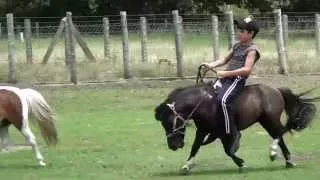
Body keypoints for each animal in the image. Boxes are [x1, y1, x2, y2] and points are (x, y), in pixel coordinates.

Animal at [154, 70, 318, 173]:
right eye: (162, 124)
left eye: (169, 122)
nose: (173, 146)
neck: (204, 103)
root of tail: (276, 90)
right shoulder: (203, 131)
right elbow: (195, 147)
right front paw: (186, 166)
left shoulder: (225, 132)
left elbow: (229, 150)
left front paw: (242, 164)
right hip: (265, 121)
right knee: (280, 135)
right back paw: (288, 161)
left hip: (271, 119)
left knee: (281, 131)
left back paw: (274, 153)